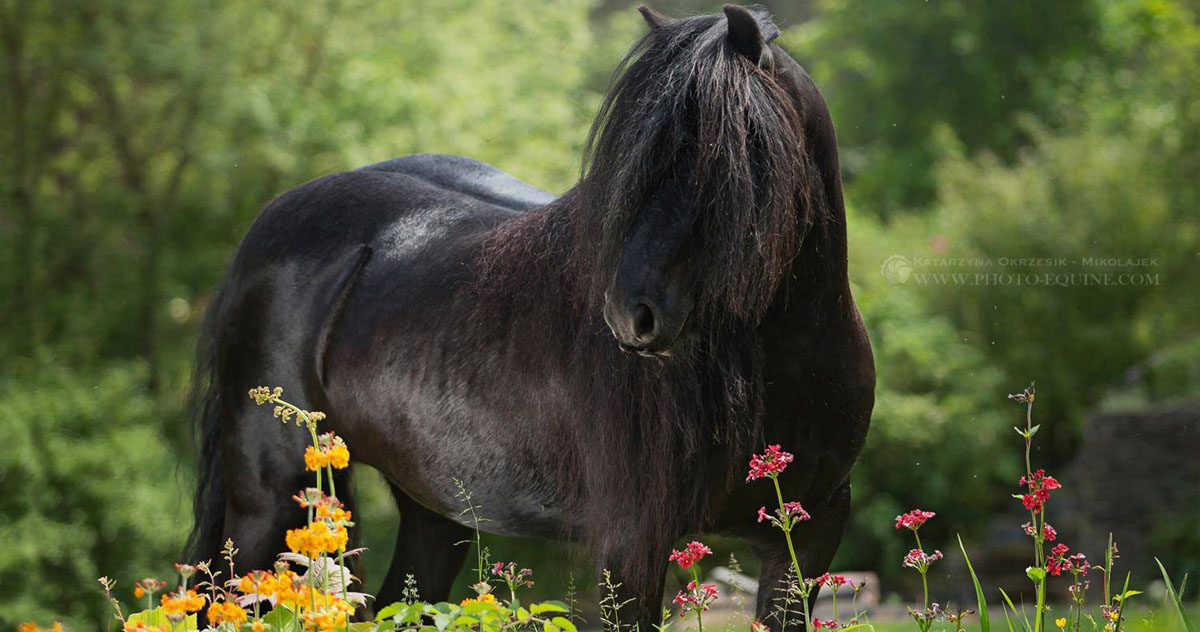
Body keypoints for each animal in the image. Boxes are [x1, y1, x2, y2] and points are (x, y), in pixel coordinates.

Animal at [192, 6, 878, 632]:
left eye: (723, 148)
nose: (630, 315)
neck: (777, 363)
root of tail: (272, 220)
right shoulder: (632, 546)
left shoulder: (807, 538)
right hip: (266, 503)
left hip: (433, 510)